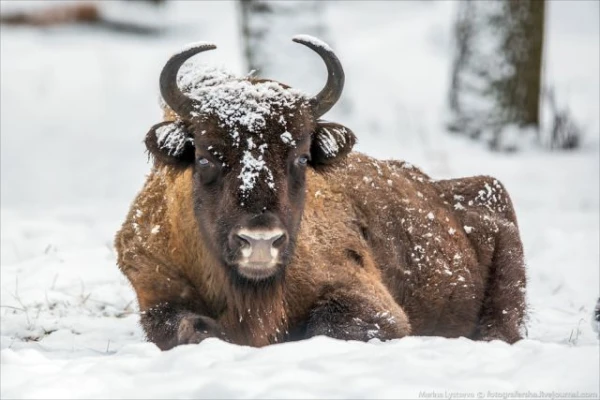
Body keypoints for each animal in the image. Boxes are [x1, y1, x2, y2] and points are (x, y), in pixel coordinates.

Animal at [115, 36, 528, 350]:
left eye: (300, 157)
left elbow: (325, 325)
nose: (260, 241)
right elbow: (188, 328)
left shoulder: (371, 302)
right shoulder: (154, 289)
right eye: (204, 157)